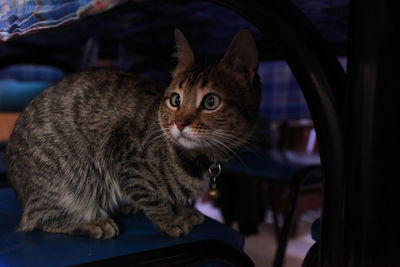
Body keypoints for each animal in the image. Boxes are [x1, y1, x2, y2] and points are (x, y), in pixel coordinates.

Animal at [4, 28, 260, 239]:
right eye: (175, 100)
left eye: (211, 101)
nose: (179, 123)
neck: (198, 159)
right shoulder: (124, 156)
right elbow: (153, 196)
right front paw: (169, 220)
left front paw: (184, 210)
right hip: (69, 180)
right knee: (39, 219)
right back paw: (92, 223)